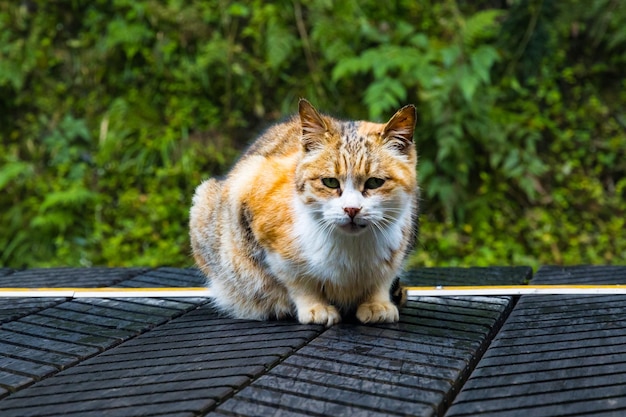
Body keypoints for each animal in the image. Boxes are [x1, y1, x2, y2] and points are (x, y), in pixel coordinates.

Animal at [189, 98, 414, 324]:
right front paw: (315, 307)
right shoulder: (251, 199)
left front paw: (377, 303)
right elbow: (296, 280)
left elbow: (383, 278)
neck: (351, 246)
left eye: (374, 182)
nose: (351, 209)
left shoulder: (399, 244)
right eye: (330, 182)